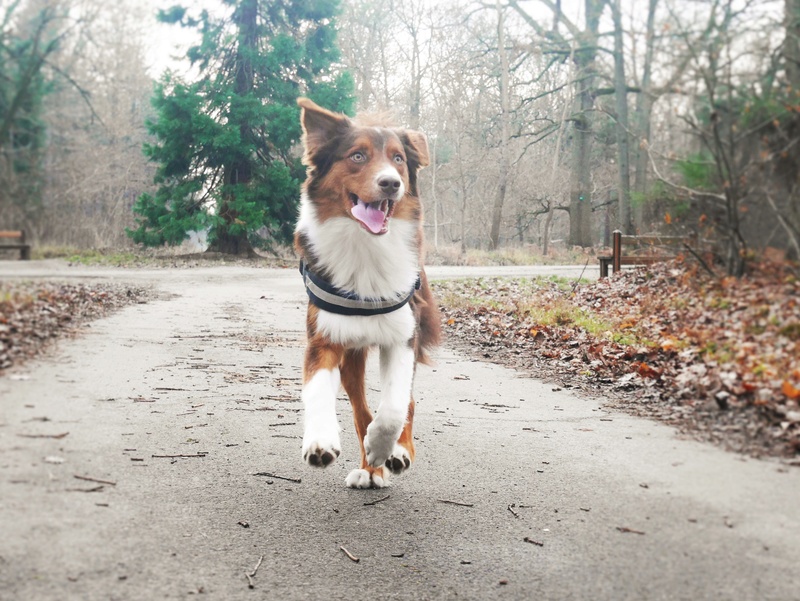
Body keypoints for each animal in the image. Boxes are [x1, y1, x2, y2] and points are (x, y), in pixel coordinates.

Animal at [296, 97, 440, 488]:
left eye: (398, 159)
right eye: (357, 156)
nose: (390, 183)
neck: (365, 246)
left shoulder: (403, 335)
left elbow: (393, 406)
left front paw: (385, 447)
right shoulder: (324, 339)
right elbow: (317, 391)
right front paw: (320, 441)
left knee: (406, 404)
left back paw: (394, 454)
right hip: (351, 357)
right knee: (361, 412)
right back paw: (369, 469)